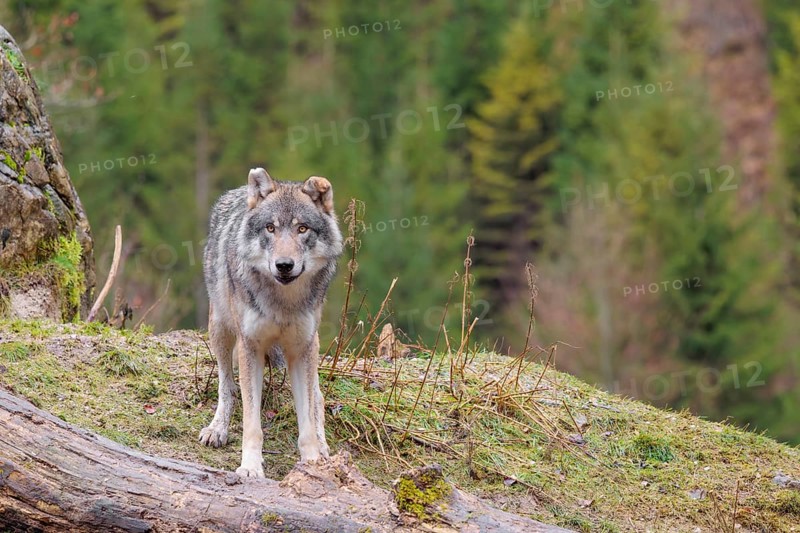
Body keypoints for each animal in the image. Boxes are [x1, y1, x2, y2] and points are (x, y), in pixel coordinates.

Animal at [198, 167, 343, 478]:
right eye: (270, 228)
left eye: (302, 229)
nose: (284, 265)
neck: (283, 304)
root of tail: (240, 190)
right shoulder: (250, 346)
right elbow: (252, 424)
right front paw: (250, 467)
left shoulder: (301, 351)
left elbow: (307, 422)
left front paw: (312, 463)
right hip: (221, 329)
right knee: (227, 387)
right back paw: (217, 429)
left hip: (312, 346)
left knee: (318, 398)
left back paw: (324, 448)